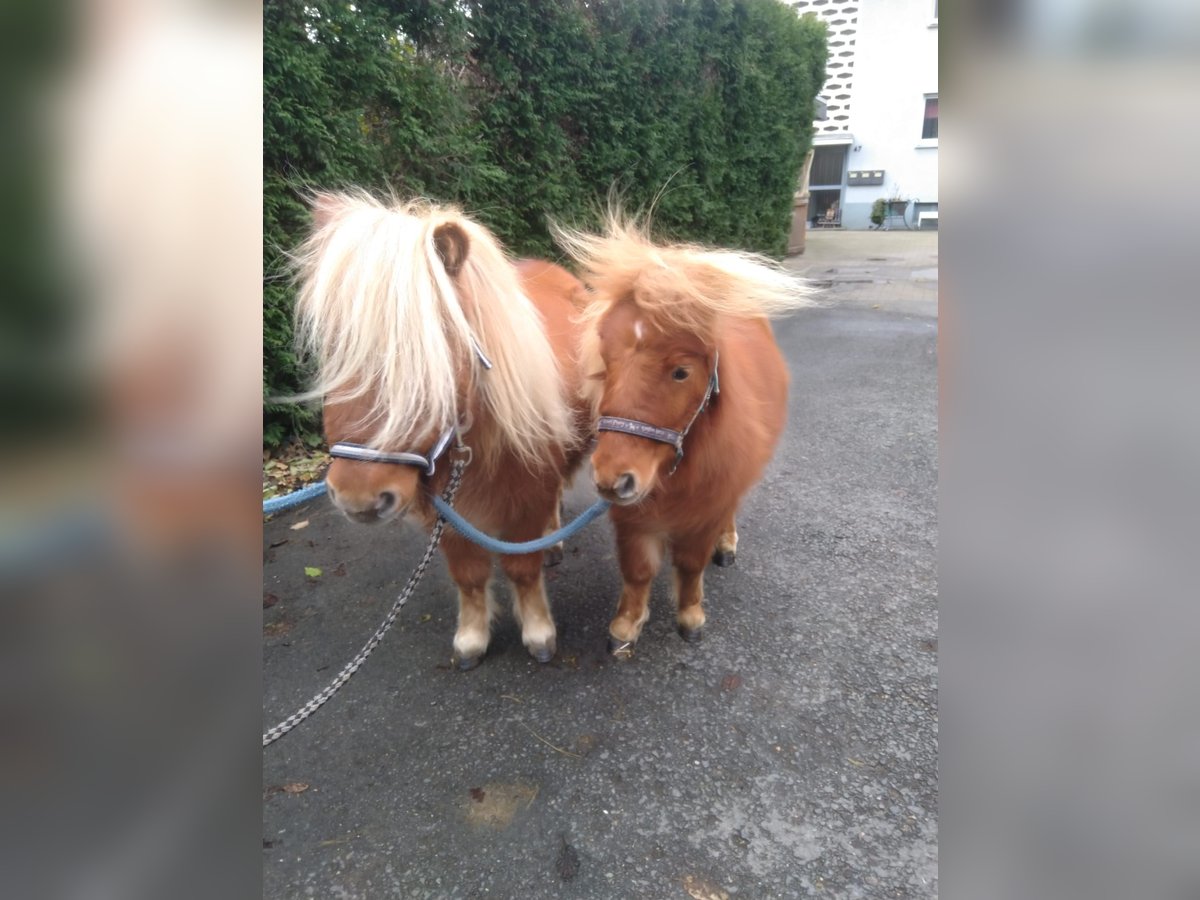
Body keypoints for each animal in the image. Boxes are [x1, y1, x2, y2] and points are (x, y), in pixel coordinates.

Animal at [290, 192, 590, 672]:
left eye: (434, 354)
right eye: (335, 349)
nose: (357, 497)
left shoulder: (527, 497)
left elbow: (523, 568)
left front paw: (539, 633)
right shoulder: (448, 512)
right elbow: (468, 575)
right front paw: (471, 639)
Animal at [554, 216, 816, 657]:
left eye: (681, 371)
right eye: (605, 362)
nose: (612, 479)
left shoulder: (708, 506)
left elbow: (691, 565)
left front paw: (691, 617)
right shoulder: (631, 515)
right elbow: (638, 570)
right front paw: (625, 626)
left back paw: (726, 545)